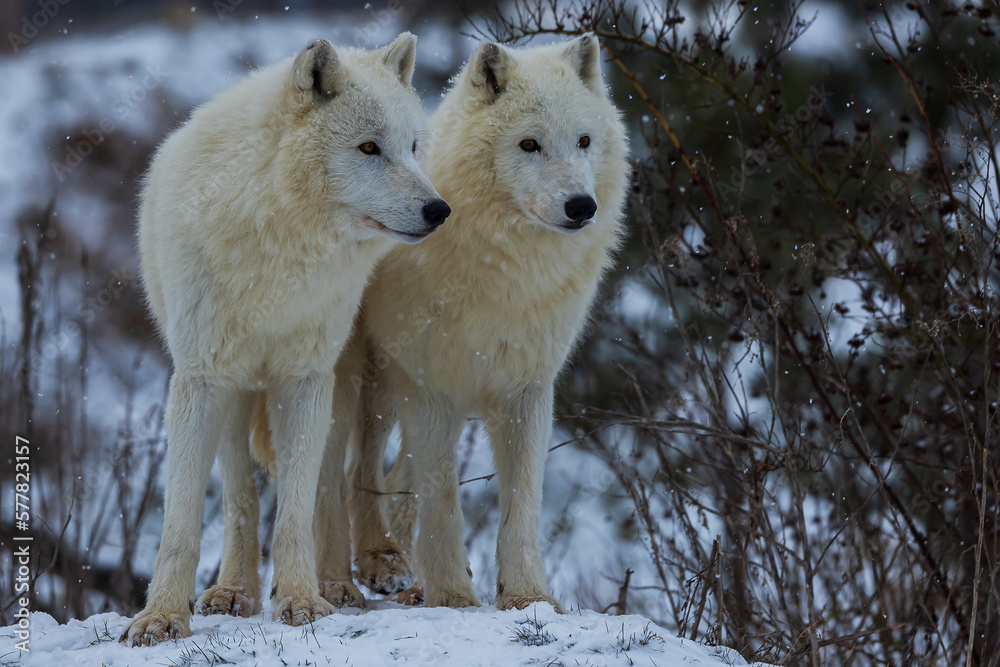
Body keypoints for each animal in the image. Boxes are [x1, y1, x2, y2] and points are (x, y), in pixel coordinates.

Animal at [121, 33, 448, 647]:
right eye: (369, 148)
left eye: (414, 147)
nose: (438, 210)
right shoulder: (201, 379)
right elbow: (182, 521)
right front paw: (161, 616)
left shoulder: (304, 378)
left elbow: (297, 509)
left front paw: (300, 599)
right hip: (240, 393)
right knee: (241, 493)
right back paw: (236, 589)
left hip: (351, 381)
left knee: (342, 477)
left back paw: (349, 576)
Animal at [280, 34, 628, 611]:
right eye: (529, 144)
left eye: (583, 141)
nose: (581, 206)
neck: (506, 271)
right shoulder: (429, 386)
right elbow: (442, 497)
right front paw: (452, 595)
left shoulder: (526, 390)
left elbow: (521, 504)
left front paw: (527, 595)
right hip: (356, 385)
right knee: (341, 476)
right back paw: (345, 579)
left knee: (382, 476)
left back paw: (396, 571)